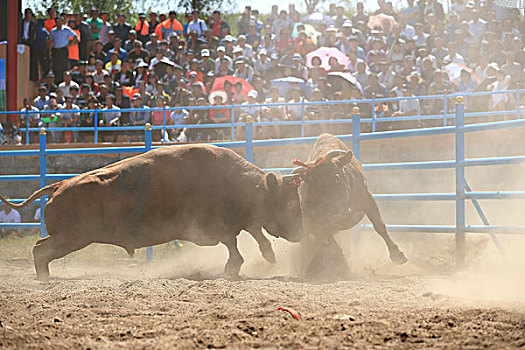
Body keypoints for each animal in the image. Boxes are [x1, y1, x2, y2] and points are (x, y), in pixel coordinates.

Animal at [0, 144, 302, 278]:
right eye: (289, 203)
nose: (300, 232)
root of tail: (59, 185)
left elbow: (252, 231)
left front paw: (267, 255)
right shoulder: (217, 227)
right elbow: (236, 241)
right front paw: (234, 266)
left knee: (41, 247)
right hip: (72, 237)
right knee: (41, 250)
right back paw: (44, 278)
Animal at [290, 133, 406, 280]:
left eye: (337, 177)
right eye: (315, 185)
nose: (339, 212)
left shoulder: (367, 198)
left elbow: (379, 225)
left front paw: (398, 254)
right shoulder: (314, 220)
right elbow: (328, 240)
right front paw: (342, 266)